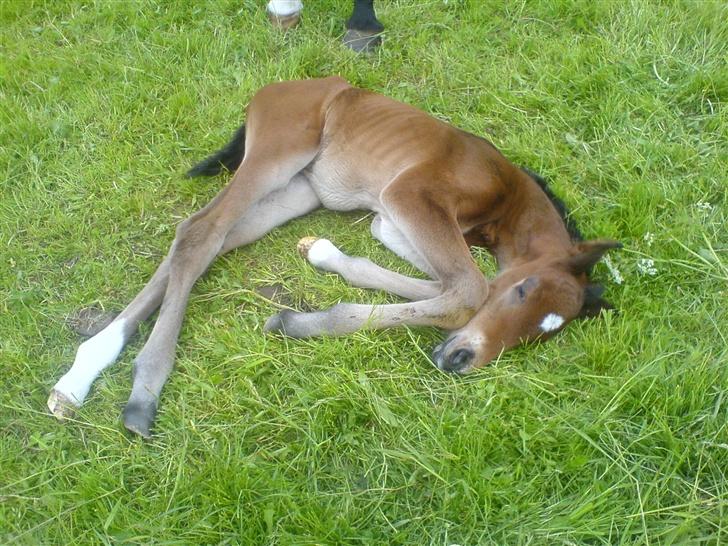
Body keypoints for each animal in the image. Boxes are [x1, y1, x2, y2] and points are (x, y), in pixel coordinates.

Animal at [47, 76, 620, 436]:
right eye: (523, 290)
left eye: (540, 335)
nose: (461, 360)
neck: (506, 197)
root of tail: (274, 89)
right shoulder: (409, 196)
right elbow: (469, 289)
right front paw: (300, 322)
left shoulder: (391, 221)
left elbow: (443, 285)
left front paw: (324, 257)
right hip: (277, 154)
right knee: (198, 231)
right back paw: (143, 388)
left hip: (299, 190)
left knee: (211, 242)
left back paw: (81, 374)